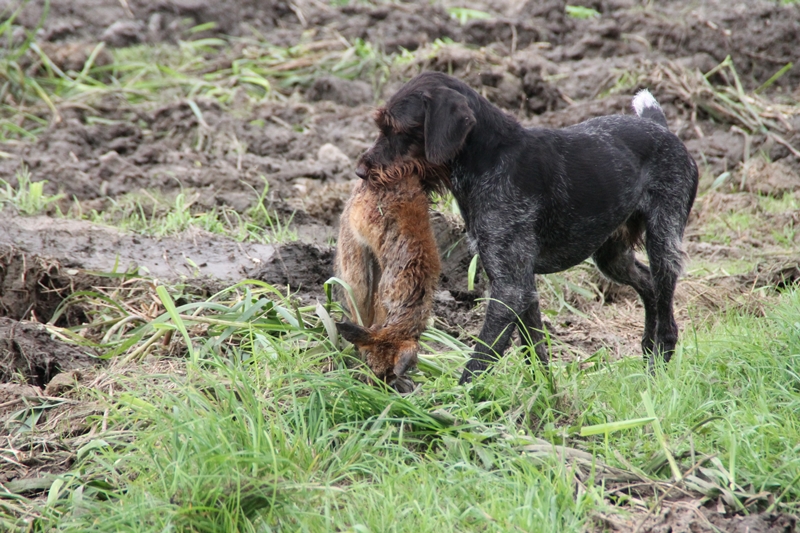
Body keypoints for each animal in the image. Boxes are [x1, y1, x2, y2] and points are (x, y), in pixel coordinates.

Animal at [334, 170, 440, 386]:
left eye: (389, 375)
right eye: (371, 365)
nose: (375, 387)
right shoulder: (381, 298)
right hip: (357, 278)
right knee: (358, 312)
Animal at [356, 72, 700, 384]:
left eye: (396, 129)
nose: (360, 170)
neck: (487, 159)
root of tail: (660, 127)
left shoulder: (511, 287)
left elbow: (482, 357)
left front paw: (458, 402)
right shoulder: (522, 283)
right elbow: (534, 351)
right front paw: (546, 399)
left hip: (663, 241)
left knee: (667, 316)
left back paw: (658, 372)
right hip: (612, 256)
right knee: (649, 287)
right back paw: (647, 355)